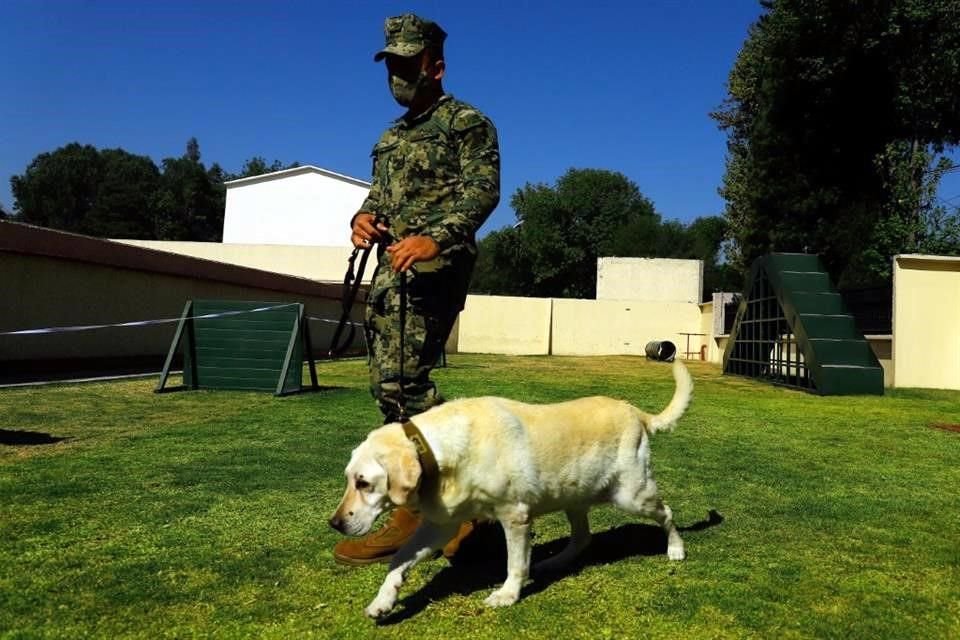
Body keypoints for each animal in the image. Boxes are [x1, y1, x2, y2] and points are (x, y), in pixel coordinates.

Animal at [330, 358, 688, 616]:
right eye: (349, 478)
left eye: (363, 482)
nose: (335, 523)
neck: (439, 452)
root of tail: (633, 410)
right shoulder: (440, 526)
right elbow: (399, 560)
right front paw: (383, 600)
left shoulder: (514, 516)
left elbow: (514, 563)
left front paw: (507, 594)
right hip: (574, 497)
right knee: (583, 538)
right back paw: (554, 563)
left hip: (632, 495)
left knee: (667, 513)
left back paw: (675, 549)